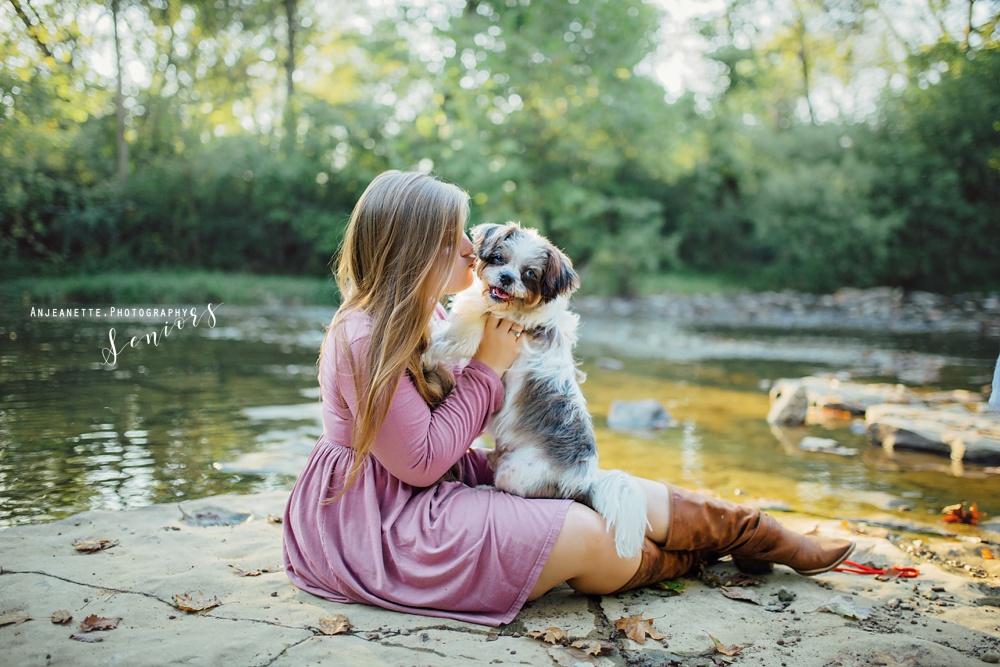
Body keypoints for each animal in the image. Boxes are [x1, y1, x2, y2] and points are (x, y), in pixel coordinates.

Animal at [428, 223, 648, 560]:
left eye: (530, 274)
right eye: (498, 258)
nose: (507, 277)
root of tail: (581, 486)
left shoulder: (464, 338)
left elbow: (436, 342)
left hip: (513, 471)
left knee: (510, 491)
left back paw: (486, 489)